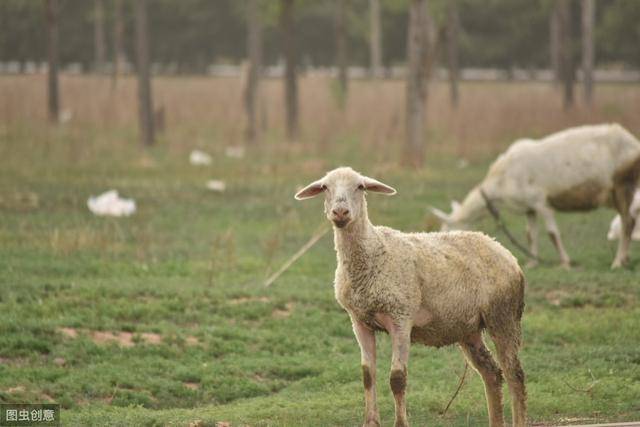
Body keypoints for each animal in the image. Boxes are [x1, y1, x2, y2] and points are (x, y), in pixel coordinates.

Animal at [296, 167, 524, 427]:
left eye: (360, 187)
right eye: (325, 187)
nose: (340, 212)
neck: (373, 251)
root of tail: (503, 250)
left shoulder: (401, 318)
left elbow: (397, 379)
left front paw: (401, 422)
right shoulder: (359, 321)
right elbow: (367, 374)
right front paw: (370, 422)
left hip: (503, 315)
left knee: (514, 374)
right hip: (468, 328)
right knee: (492, 373)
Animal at [430, 123, 640, 270]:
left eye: (445, 232)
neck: (500, 182)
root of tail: (634, 143)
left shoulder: (541, 201)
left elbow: (552, 233)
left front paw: (565, 262)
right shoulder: (528, 207)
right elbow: (530, 234)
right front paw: (532, 262)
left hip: (623, 184)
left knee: (628, 222)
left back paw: (617, 262)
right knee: (626, 221)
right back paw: (625, 258)